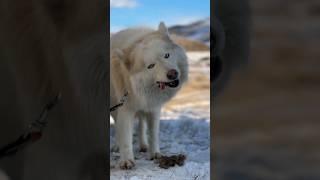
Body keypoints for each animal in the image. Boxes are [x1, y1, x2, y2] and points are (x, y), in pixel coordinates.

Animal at [111, 22, 189, 169]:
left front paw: (155, 154)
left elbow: (153, 133)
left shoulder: (153, 108)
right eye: (151, 66)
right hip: (114, 109)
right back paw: (117, 146)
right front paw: (127, 160)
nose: (172, 74)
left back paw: (143, 145)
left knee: (141, 124)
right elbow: (125, 137)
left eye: (166, 55)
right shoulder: (126, 109)